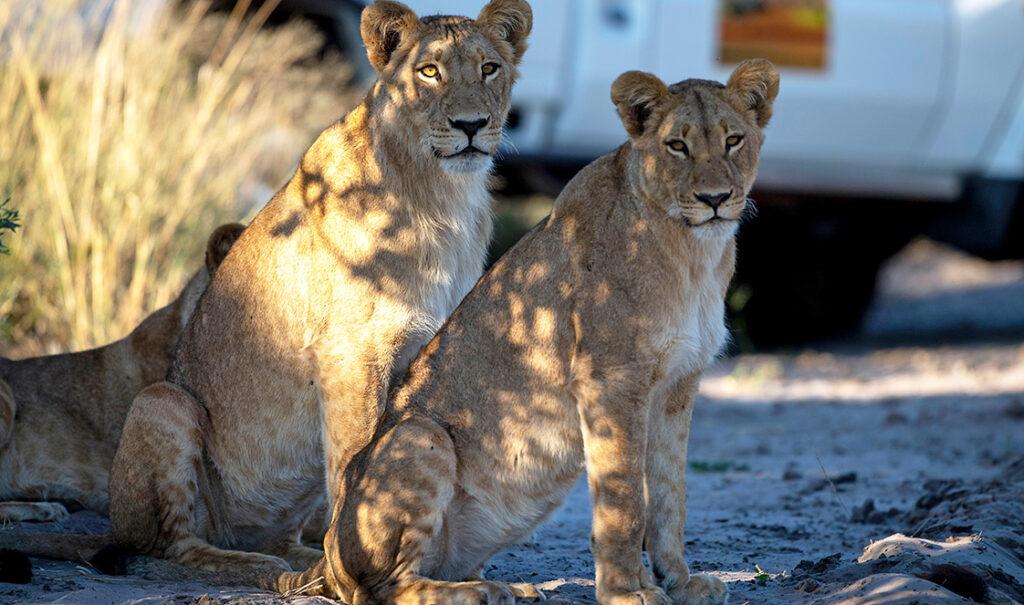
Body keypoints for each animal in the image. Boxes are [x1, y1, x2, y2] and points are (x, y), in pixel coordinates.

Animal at [250, 59, 780, 604]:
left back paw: (509, 587)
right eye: (677, 145)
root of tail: (328, 554)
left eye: (734, 140)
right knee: (384, 587)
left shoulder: (678, 386)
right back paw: (478, 592)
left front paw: (680, 581)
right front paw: (625, 592)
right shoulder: (609, 381)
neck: (694, 253)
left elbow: (671, 495)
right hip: (420, 435)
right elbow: (624, 498)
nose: (715, 199)